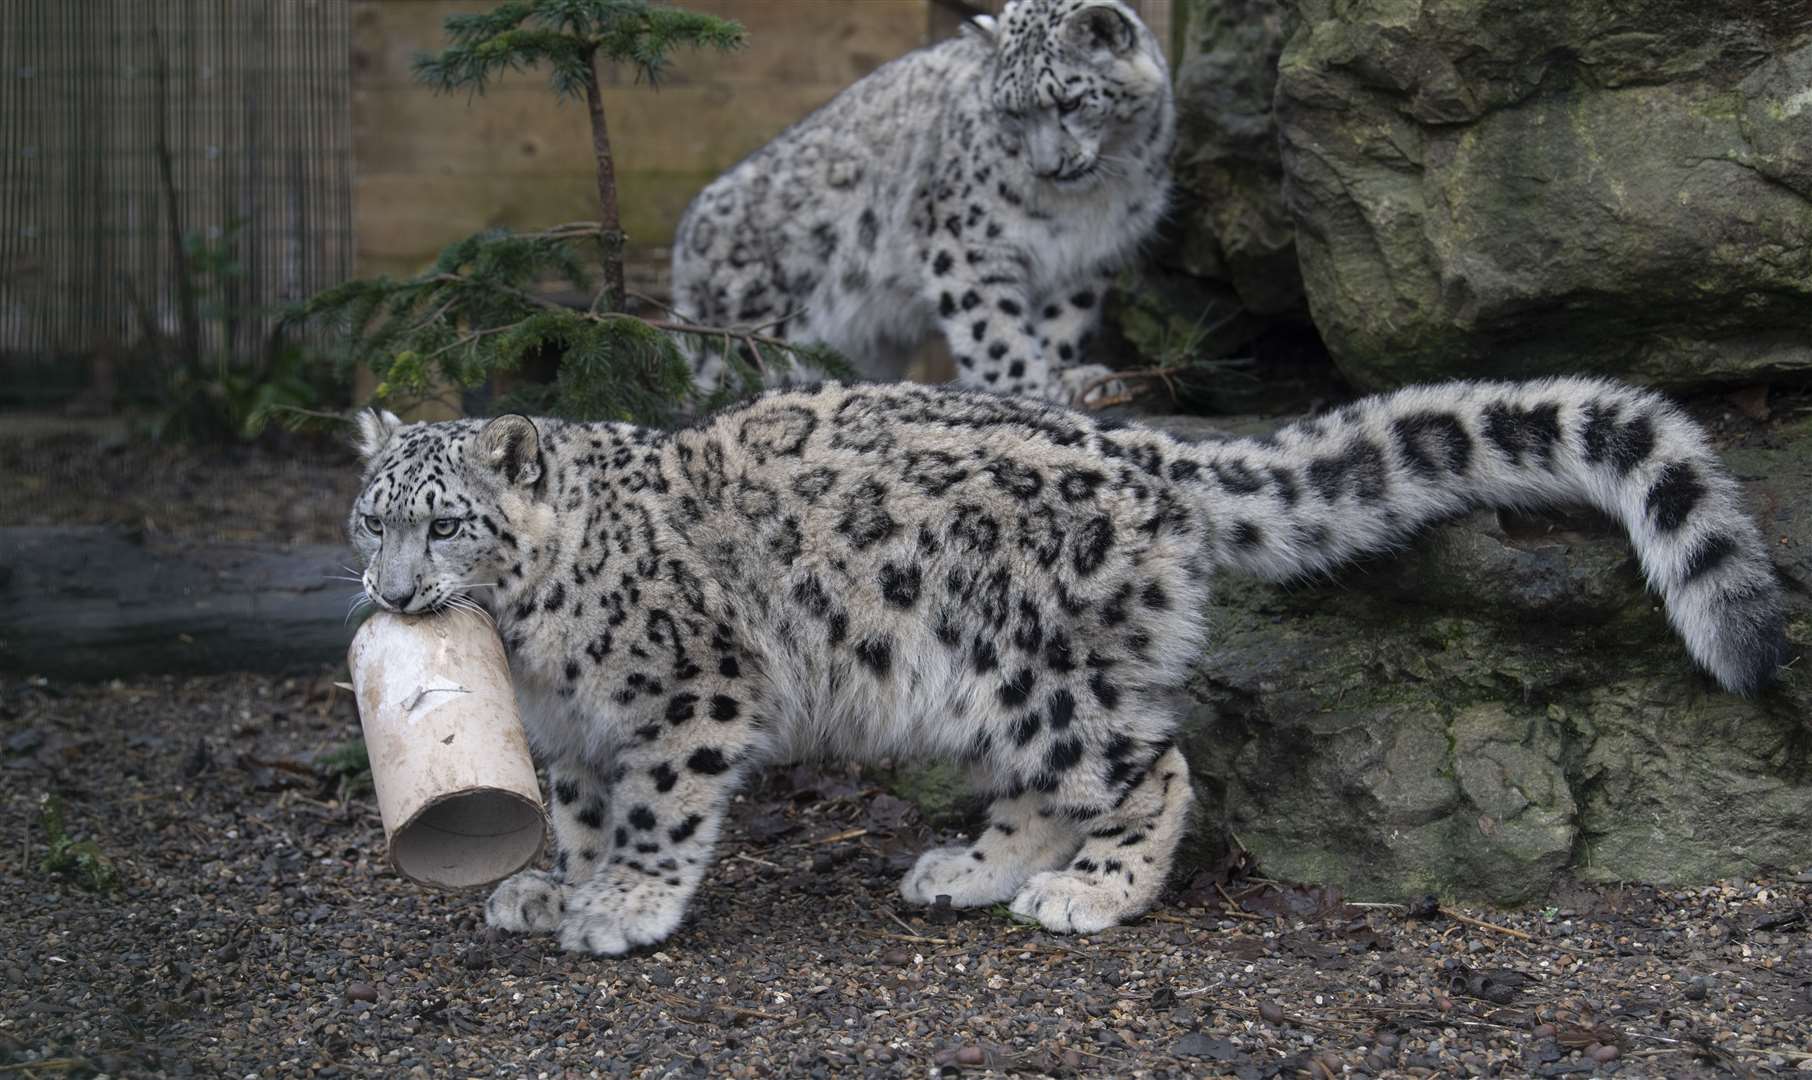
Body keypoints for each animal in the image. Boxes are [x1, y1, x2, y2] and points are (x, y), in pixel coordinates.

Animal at [349, 376, 1783, 956]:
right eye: (372, 517)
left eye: (450, 523)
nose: (393, 592)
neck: (536, 654)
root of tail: (1149, 451)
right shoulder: (576, 733)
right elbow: (588, 812)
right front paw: (556, 888)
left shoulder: (688, 692)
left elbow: (657, 810)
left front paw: (627, 906)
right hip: (982, 684)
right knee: (1048, 780)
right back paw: (970, 869)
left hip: (1031, 665)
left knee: (1152, 761)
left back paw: (1091, 894)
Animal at [670, 0, 1174, 405]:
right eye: (1011, 112)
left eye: (1070, 103)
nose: (1046, 167)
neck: (1087, 204)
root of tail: (686, 233)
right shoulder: (968, 242)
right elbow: (993, 331)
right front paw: (1025, 389)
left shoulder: (1089, 259)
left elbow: (1063, 323)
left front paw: (1069, 377)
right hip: (752, 330)